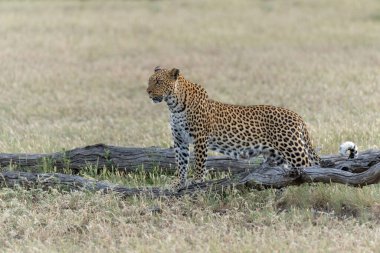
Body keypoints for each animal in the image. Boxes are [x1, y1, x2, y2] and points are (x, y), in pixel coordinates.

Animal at [146, 66, 356, 189]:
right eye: (150, 80)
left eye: (158, 81)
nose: (147, 91)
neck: (174, 105)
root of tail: (297, 116)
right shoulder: (180, 140)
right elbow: (181, 162)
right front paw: (178, 182)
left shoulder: (199, 138)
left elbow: (198, 162)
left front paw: (197, 181)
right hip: (277, 155)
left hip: (292, 148)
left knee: (310, 168)